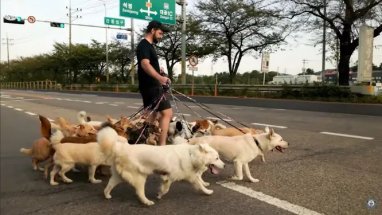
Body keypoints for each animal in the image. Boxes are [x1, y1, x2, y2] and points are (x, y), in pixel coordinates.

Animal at [97, 127, 225, 206]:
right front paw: (159, 195)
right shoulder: (171, 178)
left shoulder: (189, 176)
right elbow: (166, 189)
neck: (191, 155)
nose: (224, 165)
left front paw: (207, 191)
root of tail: (121, 148)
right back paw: (147, 202)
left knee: (108, 186)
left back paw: (107, 195)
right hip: (140, 177)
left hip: (118, 177)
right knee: (139, 192)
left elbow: (200, 184)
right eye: (217, 158)